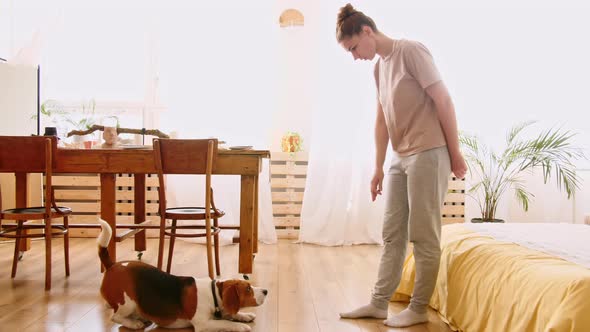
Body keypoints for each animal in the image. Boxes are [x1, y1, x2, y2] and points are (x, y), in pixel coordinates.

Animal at [97, 219, 268, 330]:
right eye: (247, 289)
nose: (266, 291)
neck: (213, 294)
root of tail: (112, 265)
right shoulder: (203, 324)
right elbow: (226, 323)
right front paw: (239, 326)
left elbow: (232, 314)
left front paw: (244, 316)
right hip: (127, 302)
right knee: (115, 317)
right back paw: (134, 323)